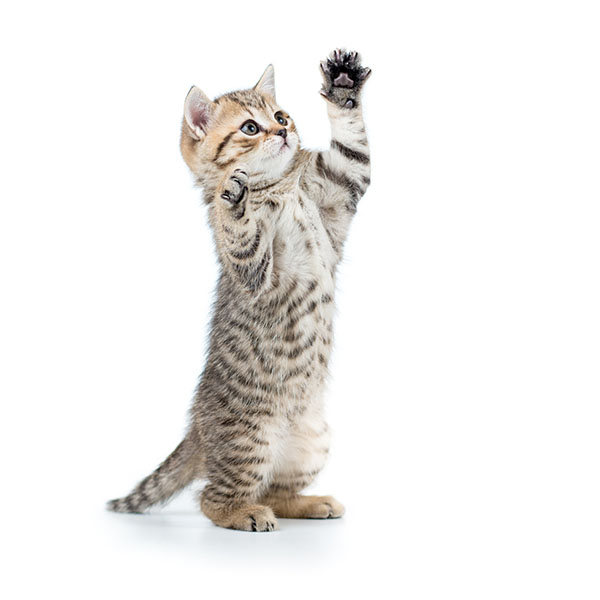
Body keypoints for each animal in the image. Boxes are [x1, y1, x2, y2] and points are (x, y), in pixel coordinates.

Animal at [107, 50, 370, 528]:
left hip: (313, 442)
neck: (281, 188)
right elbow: (240, 237)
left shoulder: (341, 186)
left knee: (277, 492)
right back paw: (244, 513)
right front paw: (233, 200)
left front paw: (343, 84)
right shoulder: (253, 273)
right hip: (250, 439)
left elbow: (353, 145)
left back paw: (311, 503)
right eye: (250, 127)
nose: (283, 130)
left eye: (281, 116)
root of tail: (197, 430)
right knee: (212, 497)